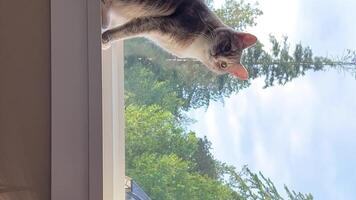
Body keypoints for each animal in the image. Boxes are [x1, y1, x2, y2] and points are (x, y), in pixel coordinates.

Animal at [101, 0, 258, 79]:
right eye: (227, 46)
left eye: (223, 65)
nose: (215, 55)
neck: (196, 48)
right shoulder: (158, 23)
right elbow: (126, 30)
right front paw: (105, 38)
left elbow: (121, 28)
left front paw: (105, 39)